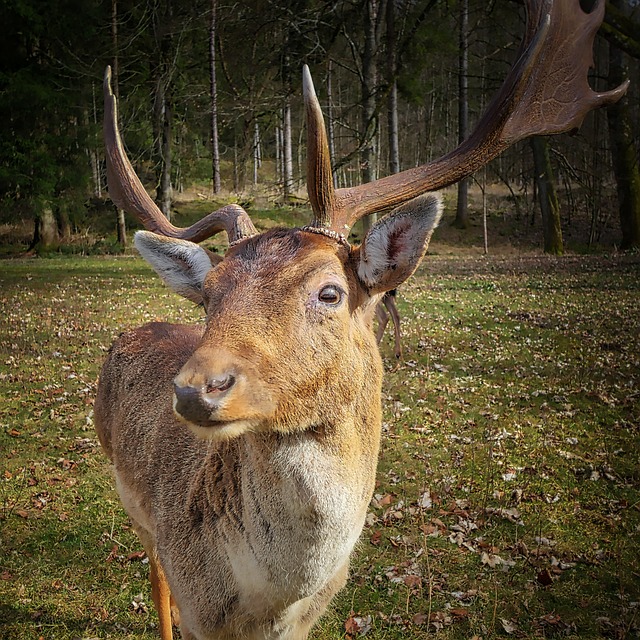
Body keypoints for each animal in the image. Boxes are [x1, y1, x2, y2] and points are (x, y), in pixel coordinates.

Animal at [94, 2, 624, 636]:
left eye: (329, 292)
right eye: (209, 296)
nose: (199, 387)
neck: (267, 606)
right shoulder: (197, 600)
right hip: (132, 501)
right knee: (153, 571)